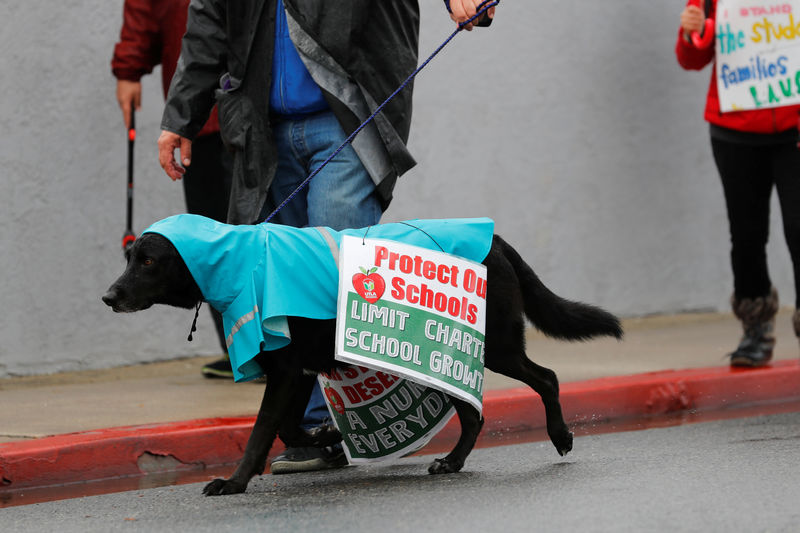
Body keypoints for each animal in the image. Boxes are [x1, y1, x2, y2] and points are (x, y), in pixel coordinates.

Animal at [103, 232, 620, 494]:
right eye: (128, 257)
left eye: (148, 261)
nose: (108, 297)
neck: (238, 262)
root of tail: (497, 239)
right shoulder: (296, 371)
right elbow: (286, 427)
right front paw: (325, 436)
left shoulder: (286, 372)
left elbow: (261, 431)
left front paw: (233, 483)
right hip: (448, 354)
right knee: (474, 414)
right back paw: (452, 462)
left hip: (494, 346)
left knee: (546, 378)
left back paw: (560, 435)